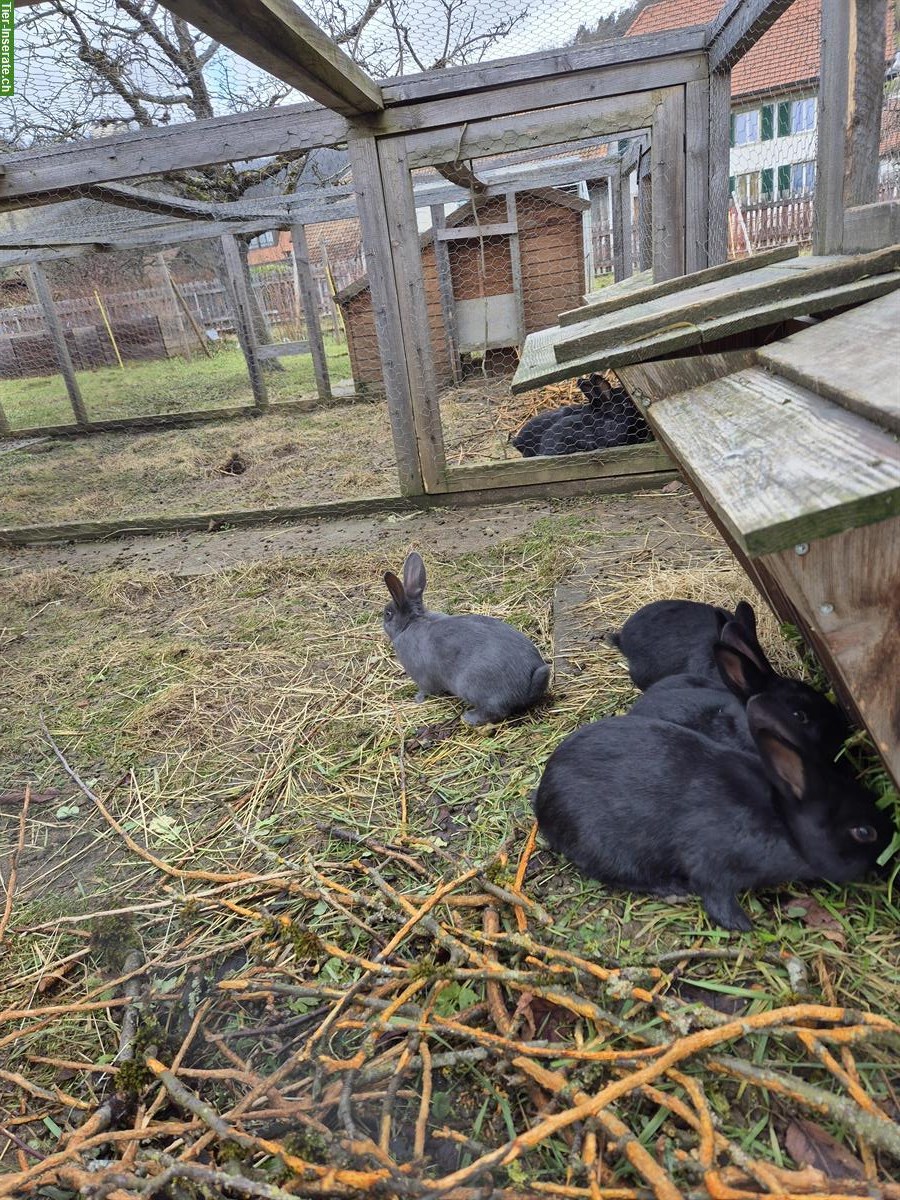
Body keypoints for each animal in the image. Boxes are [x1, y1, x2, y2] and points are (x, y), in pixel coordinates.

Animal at [381, 549, 549, 724]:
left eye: (388, 614)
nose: (382, 621)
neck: (411, 622)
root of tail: (527, 684)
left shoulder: (421, 678)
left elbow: (425, 690)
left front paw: (417, 698)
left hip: (471, 687)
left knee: (496, 712)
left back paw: (469, 717)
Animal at [535, 700, 897, 931]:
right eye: (863, 832)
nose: (890, 855)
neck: (784, 824)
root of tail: (542, 799)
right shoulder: (712, 864)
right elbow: (715, 896)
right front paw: (744, 925)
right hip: (606, 846)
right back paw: (672, 889)